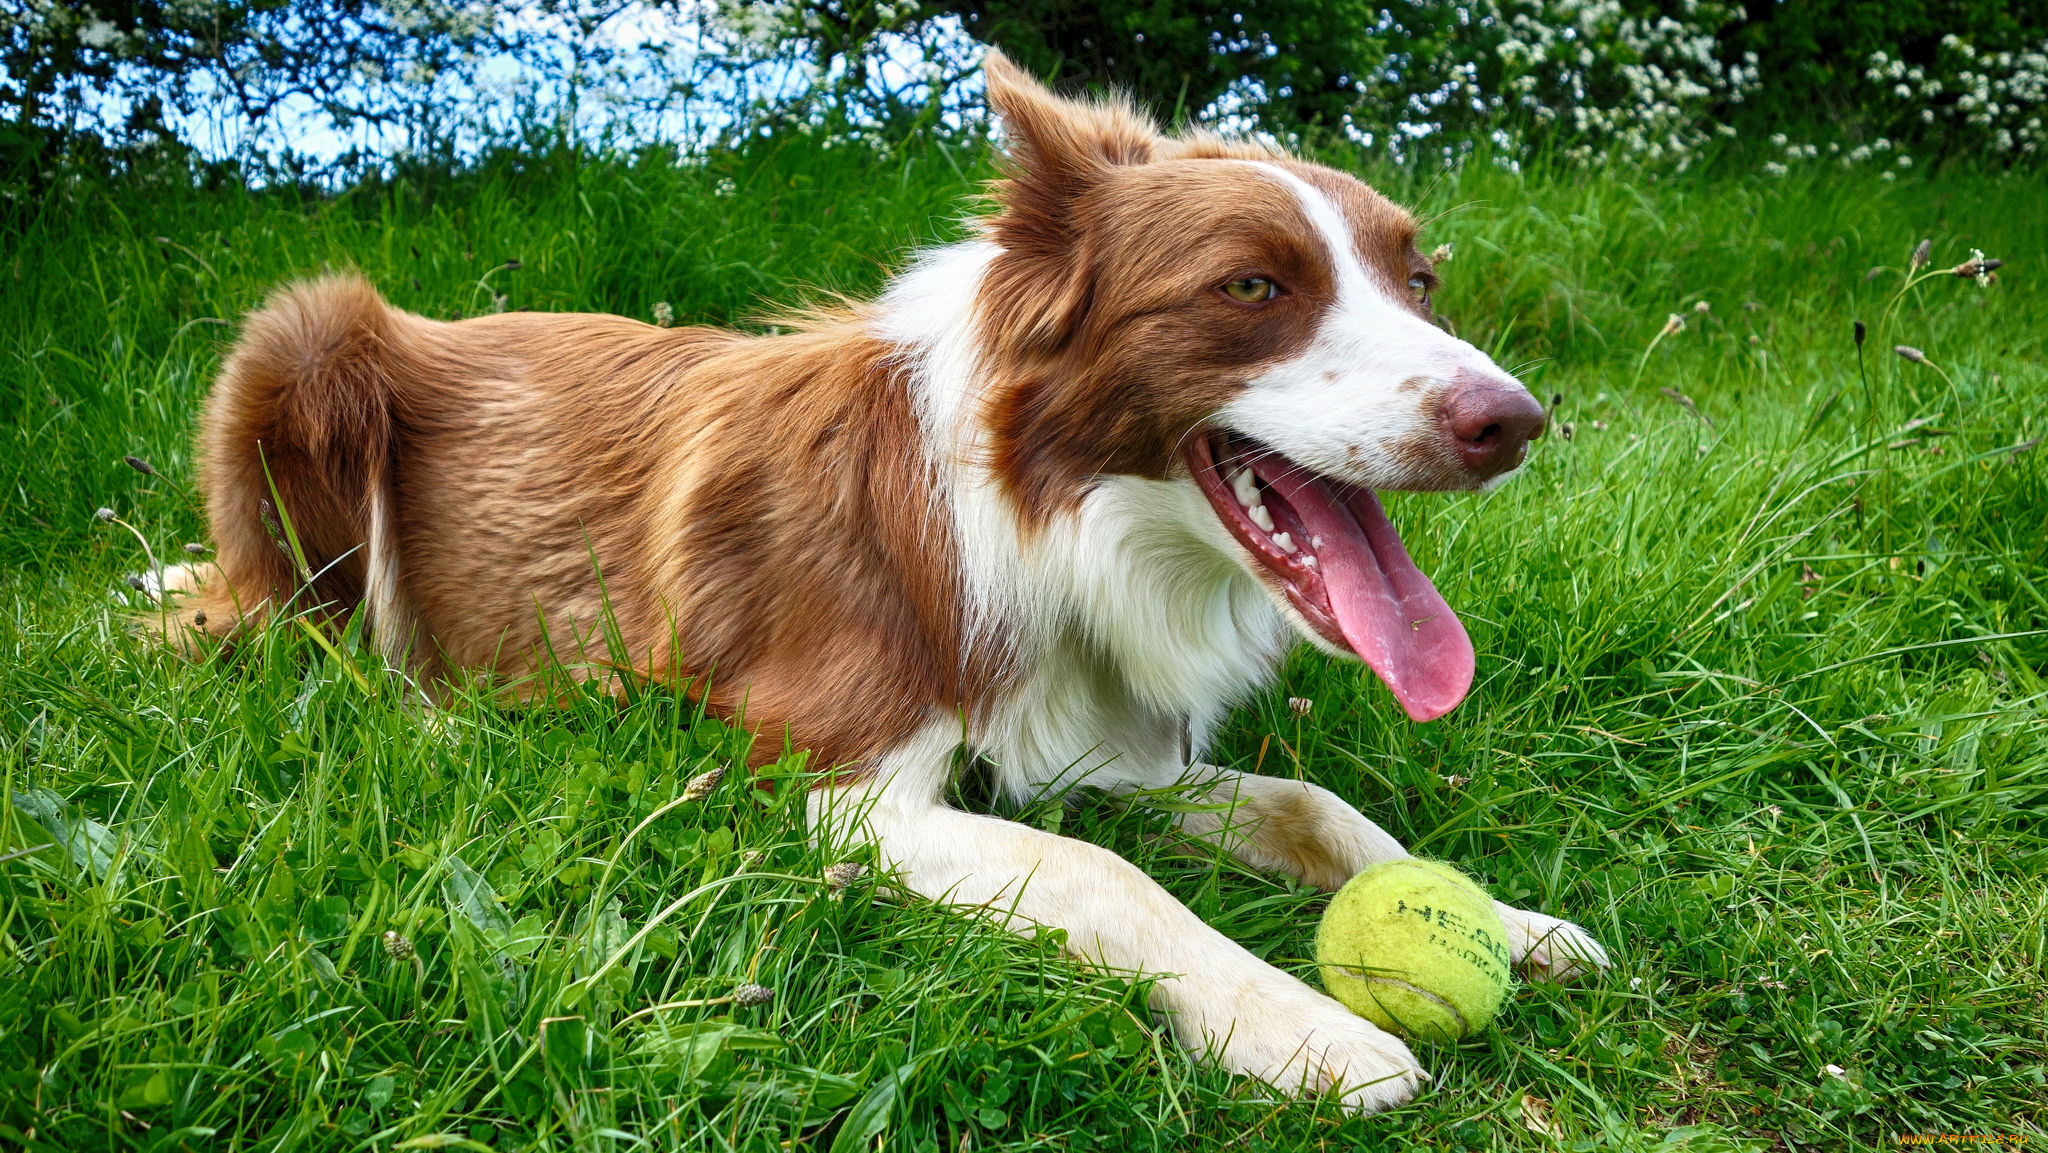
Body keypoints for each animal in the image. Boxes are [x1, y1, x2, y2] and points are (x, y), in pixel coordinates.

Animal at [155, 51, 1597, 1105]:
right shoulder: (838, 781)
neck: (1039, 516)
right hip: (306, 340)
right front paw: (1300, 1022)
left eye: (1419, 281)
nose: (1515, 420)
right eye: (1251, 287)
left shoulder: (1093, 741)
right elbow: (1101, 876)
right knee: (286, 624)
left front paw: (1510, 919)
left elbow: (1316, 807)